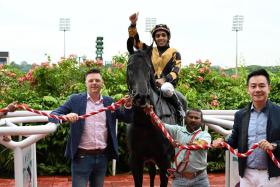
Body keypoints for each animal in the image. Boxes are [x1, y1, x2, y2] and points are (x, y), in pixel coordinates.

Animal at [127, 49, 186, 187]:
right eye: (129, 67)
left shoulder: (164, 161)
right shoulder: (135, 160)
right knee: (152, 172)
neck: (145, 123)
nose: (141, 96)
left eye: (148, 68)